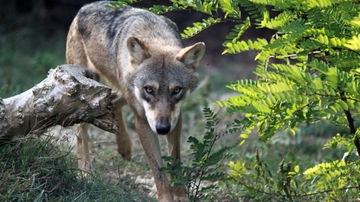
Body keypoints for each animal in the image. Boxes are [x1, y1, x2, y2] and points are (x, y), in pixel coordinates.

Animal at [65, 1, 205, 200]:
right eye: (149, 90)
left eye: (176, 90)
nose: (162, 129)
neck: (153, 34)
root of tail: (85, 7)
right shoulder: (143, 122)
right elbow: (158, 171)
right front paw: (166, 198)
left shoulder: (176, 119)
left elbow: (175, 162)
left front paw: (181, 196)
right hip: (89, 86)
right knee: (81, 130)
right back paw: (85, 172)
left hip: (122, 91)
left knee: (112, 104)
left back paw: (124, 147)